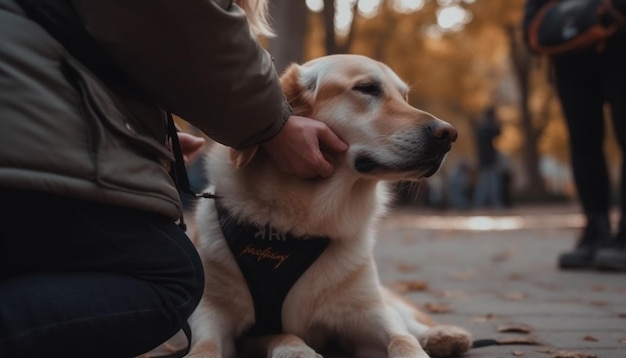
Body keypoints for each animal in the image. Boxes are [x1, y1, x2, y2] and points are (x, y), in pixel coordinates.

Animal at [188, 53, 470, 358]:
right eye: (367, 88)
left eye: (404, 96)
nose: (449, 134)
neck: (309, 221)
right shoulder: (212, 310)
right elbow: (207, 346)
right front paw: (294, 348)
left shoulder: (365, 310)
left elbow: (402, 338)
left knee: (407, 320)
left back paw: (442, 335)